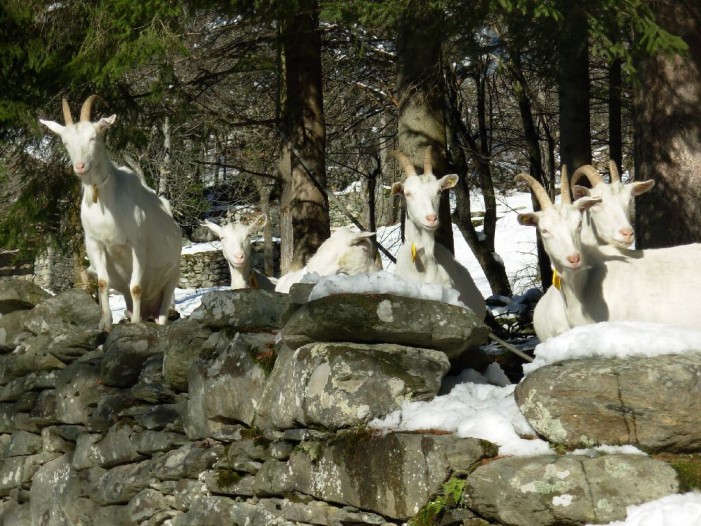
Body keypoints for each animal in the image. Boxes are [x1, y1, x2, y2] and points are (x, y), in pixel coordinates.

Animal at [39, 95, 182, 332]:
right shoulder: (97, 244)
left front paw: (135, 324)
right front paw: (105, 323)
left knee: (162, 306)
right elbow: (103, 283)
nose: (80, 166)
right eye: (66, 142)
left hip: (172, 276)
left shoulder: (137, 245)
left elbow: (136, 287)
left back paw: (153, 319)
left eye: (93, 137)